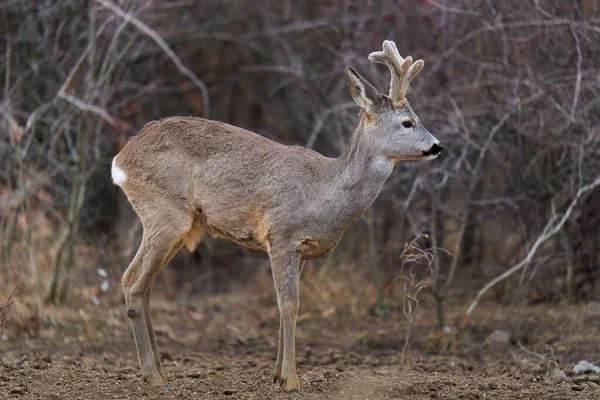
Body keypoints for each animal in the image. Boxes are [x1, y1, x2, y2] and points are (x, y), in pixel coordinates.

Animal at [111, 39, 440, 390]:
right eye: (407, 122)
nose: (438, 146)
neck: (325, 192)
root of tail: (121, 159)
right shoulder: (282, 235)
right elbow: (290, 305)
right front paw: (292, 380)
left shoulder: (302, 250)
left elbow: (286, 306)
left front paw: (278, 375)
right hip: (164, 213)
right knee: (132, 281)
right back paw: (152, 375)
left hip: (180, 225)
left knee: (144, 284)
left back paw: (159, 370)